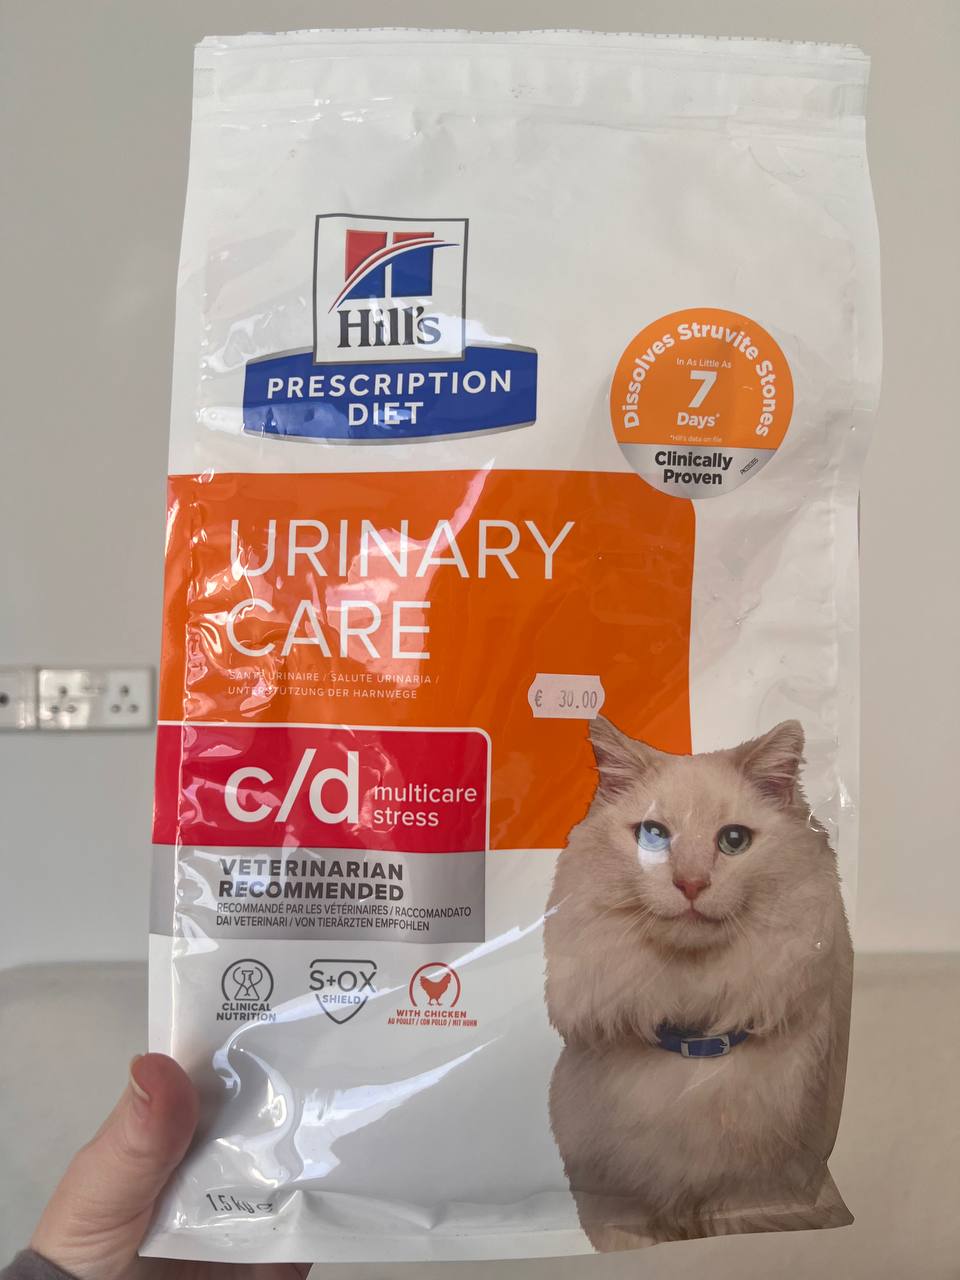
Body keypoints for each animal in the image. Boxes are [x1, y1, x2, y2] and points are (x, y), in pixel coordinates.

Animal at [544, 716, 853, 1251]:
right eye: (653, 835)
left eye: (733, 841)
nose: (690, 884)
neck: (694, 1032)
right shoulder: (616, 1210)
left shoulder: (755, 1197)